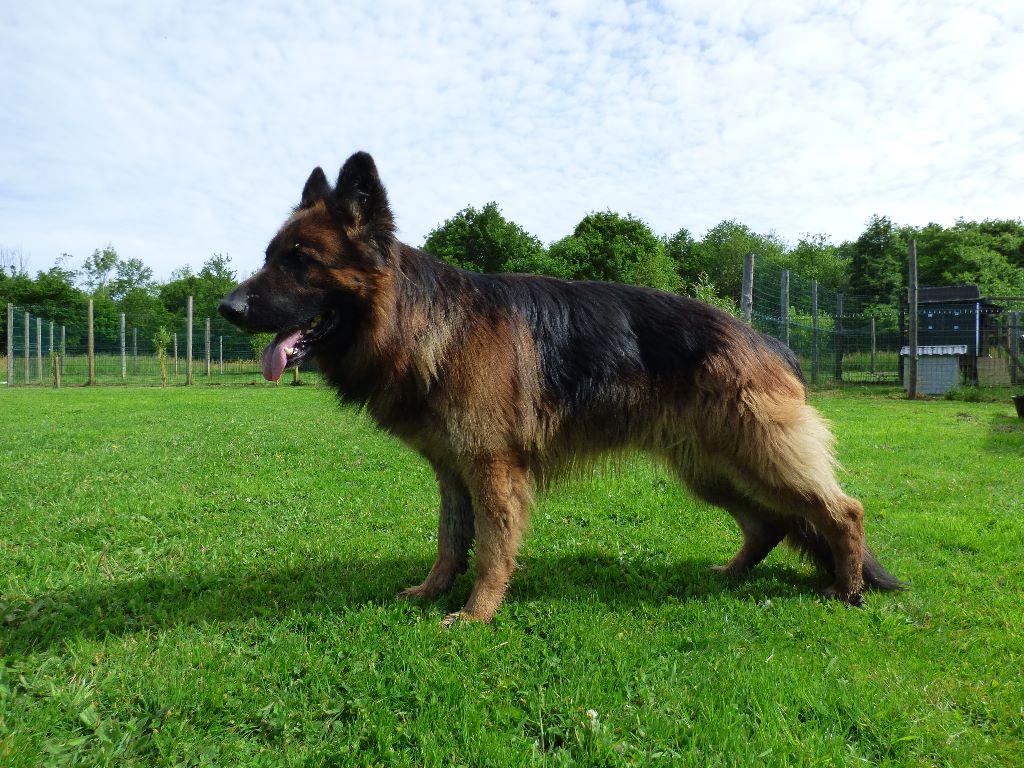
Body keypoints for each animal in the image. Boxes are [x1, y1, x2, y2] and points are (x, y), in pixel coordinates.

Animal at [218, 150, 905, 626]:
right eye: (271, 255)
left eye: (300, 261)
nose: (227, 306)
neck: (423, 320)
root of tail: (770, 342)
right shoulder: (454, 471)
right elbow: (450, 542)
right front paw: (433, 592)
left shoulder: (492, 469)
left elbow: (491, 549)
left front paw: (476, 614)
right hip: (714, 469)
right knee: (769, 525)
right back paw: (731, 574)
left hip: (757, 453)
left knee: (842, 510)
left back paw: (847, 590)